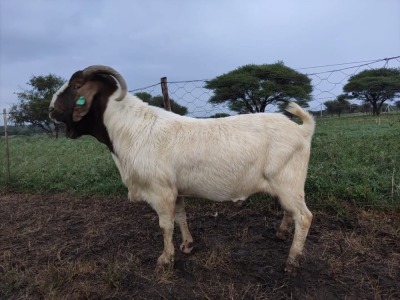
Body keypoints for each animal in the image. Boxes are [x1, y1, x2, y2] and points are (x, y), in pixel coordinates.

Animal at [48, 65, 314, 274]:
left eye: (77, 85)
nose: (51, 109)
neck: (132, 129)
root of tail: (303, 130)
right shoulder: (175, 190)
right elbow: (181, 217)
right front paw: (187, 246)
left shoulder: (160, 191)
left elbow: (165, 226)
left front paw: (165, 260)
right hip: (285, 185)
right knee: (290, 211)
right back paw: (281, 234)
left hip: (288, 182)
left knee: (304, 216)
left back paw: (292, 261)